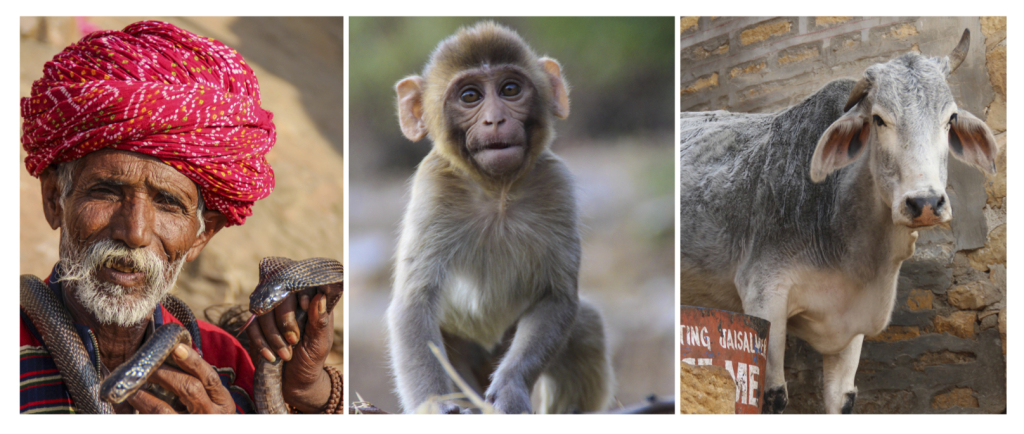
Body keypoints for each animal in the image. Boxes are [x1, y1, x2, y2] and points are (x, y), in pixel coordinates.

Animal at [385, 22, 610, 413]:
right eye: (470, 96)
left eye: (510, 90)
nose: (495, 119)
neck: (497, 192)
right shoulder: (433, 189)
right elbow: (413, 305)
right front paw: (433, 404)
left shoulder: (556, 185)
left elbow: (557, 298)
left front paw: (510, 387)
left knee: (586, 330)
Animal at [679, 30, 999, 413]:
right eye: (878, 119)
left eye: (950, 119)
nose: (924, 203)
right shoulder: (764, 297)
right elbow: (772, 397)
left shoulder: (852, 328)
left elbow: (840, 400)